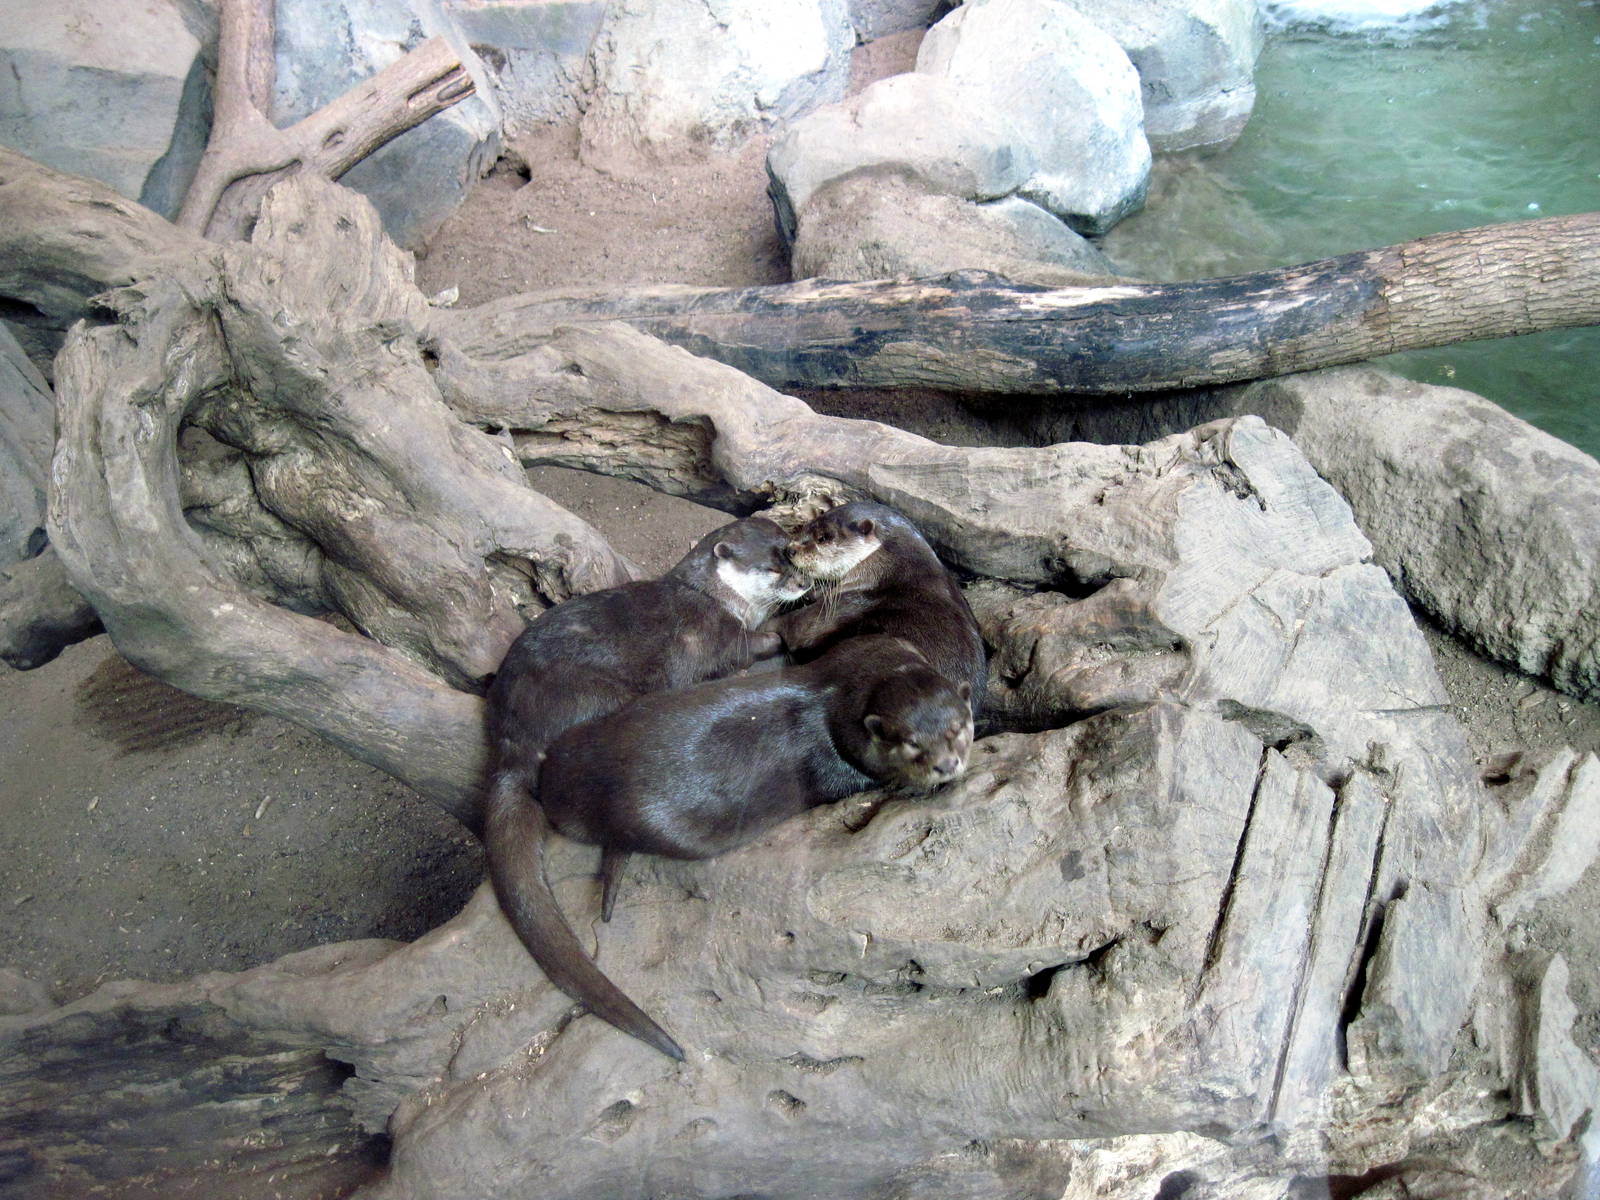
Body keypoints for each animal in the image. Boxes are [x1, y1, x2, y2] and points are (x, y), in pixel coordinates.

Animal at [484, 516, 808, 1063]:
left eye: (795, 549)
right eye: (774, 564)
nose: (803, 582)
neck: (716, 599)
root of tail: (513, 743)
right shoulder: (717, 638)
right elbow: (751, 646)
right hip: (595, 700)